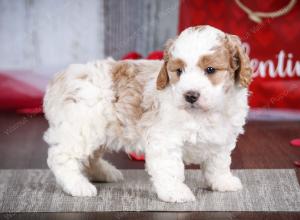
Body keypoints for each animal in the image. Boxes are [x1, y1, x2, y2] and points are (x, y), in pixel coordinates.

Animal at [43, 25, 252, 203]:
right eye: (178, 71)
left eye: (210, 69)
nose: (190, 95)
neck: (203, 113)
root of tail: (60, 78)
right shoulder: (165, 140)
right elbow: (170, 168)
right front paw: (176, 192)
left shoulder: (222, 139)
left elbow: (218, 163)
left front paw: (223, 182)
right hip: (80, 128)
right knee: (61, 157)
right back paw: (77, 185)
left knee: (90, 157)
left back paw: (104, 173)